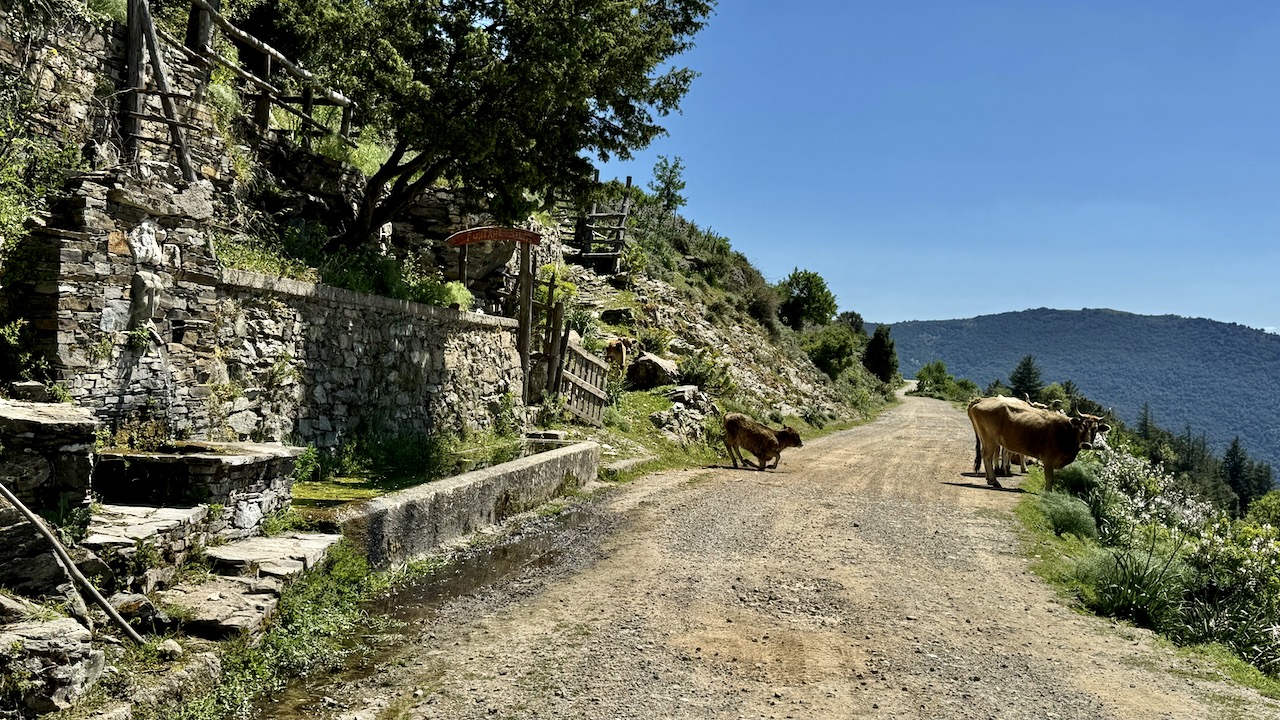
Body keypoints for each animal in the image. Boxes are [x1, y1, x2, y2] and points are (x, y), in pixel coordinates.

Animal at [962, 394, 1105, 489]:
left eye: (1096, 429)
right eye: (1081, 426)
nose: (1086, 444)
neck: (1066, 431)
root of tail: (979, 401)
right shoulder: (1048, 458)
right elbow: (1049, 478)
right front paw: (1047, 494)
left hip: (986, 438)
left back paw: (991, 478)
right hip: (990, 438)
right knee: (987, 456)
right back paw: (995, 480)